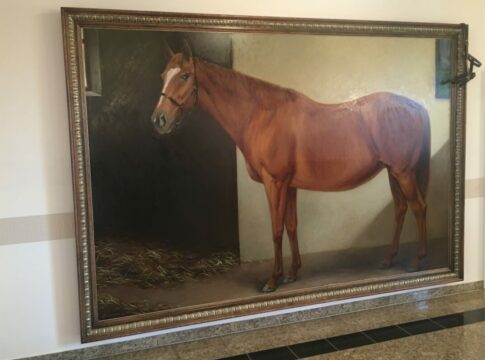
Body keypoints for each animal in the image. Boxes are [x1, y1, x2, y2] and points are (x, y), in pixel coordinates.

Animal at [149, 41, 430, 292]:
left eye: (185, 75)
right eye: (163, 76)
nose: (159, 120)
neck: (261, 116)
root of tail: (416, 106)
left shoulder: (275, 182)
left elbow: (276, 229)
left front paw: (273, 279)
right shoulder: (290, 185)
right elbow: (292, 225)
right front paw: (293, 272)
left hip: (404, 173)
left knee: (419, 207)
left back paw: (417, 261)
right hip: (393, 172)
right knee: (400, 209)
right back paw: (388, 259)